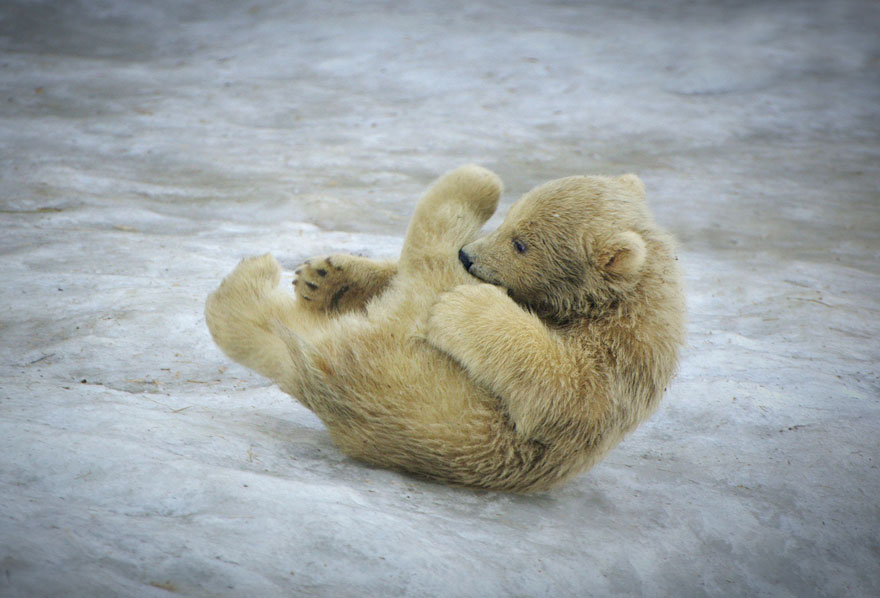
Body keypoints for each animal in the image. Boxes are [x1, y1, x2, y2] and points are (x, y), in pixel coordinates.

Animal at [205, 165, 685, 492]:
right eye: (512, 222)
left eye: (521, 243)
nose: (469, 258)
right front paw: (323, 276)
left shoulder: (617, 362)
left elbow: (559, 388)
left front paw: (466, 309)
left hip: (418, 367)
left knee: (433, 242)